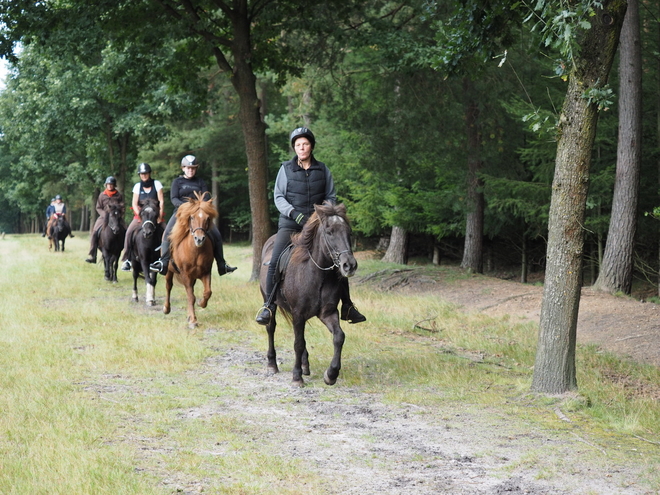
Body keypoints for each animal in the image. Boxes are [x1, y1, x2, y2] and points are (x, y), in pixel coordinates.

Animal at [162, 191, 217, 330]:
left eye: (207, 218)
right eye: (191, 217)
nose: (199, 239)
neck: (195, 251)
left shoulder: (205, 272)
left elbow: (207, 292)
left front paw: (201, 304)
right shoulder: (185, 274)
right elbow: (191, 297)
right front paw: (193, 321)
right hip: (169, 271)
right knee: (168, 286)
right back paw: (166, 308)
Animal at [260, 202, 360, 388]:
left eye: (348, 232)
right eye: (329, 232)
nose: (349, 265)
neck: (316, 274)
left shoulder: (327, 313)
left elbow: (339, 337)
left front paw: (331, 374)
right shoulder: (298, 314)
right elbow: (298, 344)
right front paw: (296, 377)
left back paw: (305, 365)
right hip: (270, 301)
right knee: (271, 327)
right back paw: (272, 364)